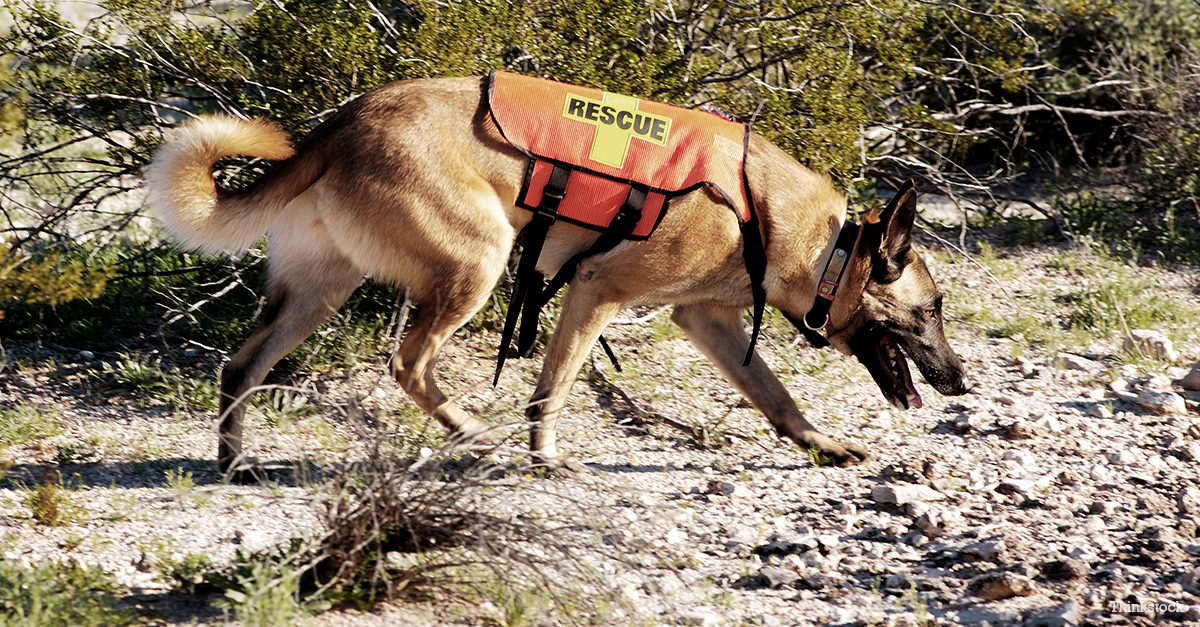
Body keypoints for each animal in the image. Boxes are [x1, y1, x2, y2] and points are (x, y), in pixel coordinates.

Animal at [147, 75, 974, 470]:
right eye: (931, 311)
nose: (963, 381)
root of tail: (341, 124)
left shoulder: (706, 320)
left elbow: (778, 399)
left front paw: (822, 445)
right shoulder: (596, 293)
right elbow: (551, 392)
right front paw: (543, 458)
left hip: (317, 293)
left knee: (242, 365)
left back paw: (234, 463)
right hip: (476, 265)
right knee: (409, 363)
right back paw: (471, 432)